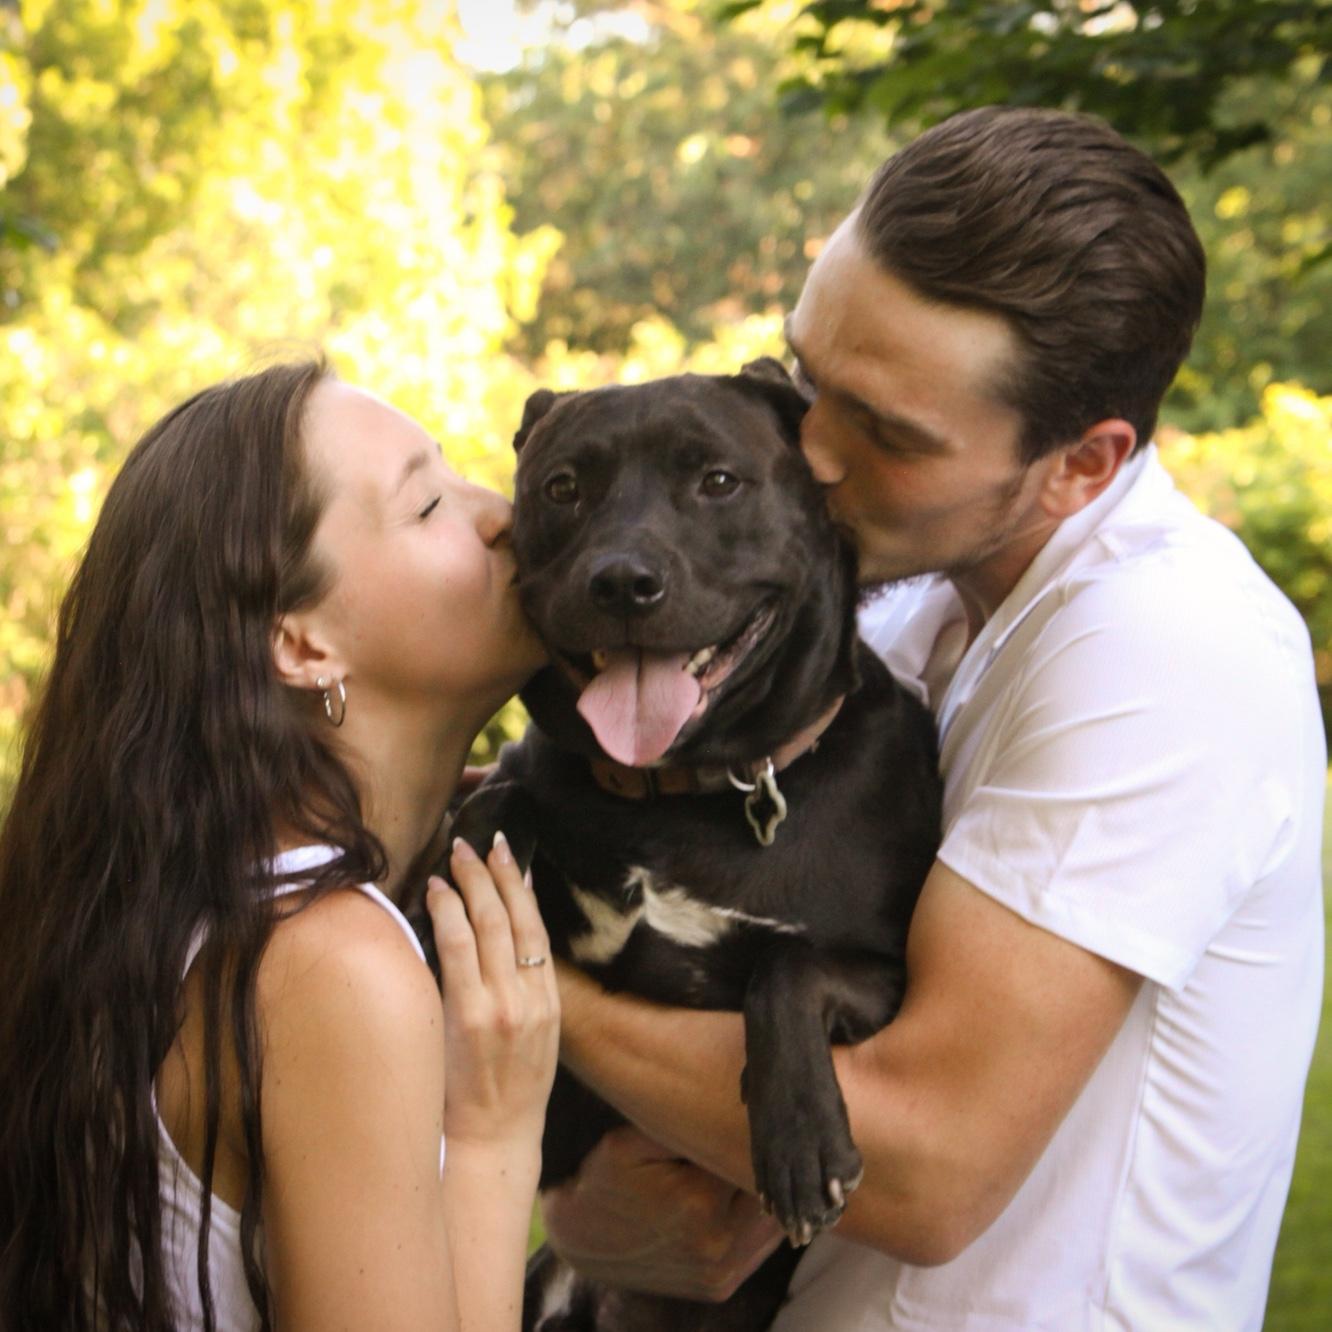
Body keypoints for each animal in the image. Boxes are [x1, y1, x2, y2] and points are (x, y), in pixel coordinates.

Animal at [429, 359, 942, 1330]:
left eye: (718, 481)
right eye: (563, 488)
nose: (623, 581)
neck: (683, 796)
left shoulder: (890, 982)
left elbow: (789, 968)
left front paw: (801, 1142)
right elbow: (488, 814)